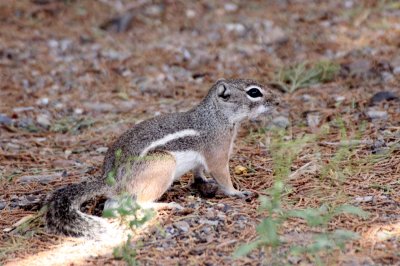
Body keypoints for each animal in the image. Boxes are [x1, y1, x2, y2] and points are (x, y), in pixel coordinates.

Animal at [45, 79, 280, 237]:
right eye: (253, 92)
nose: (277, 101)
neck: (216, 116)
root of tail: (108, 180)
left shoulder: (203, 157)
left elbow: (199, 170)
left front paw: (202, 180)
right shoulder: (217, 152)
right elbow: (222, 175)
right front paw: (237, 192)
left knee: (112, 207)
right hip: (163, 165)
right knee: (139, 202)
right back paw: (167, 206)